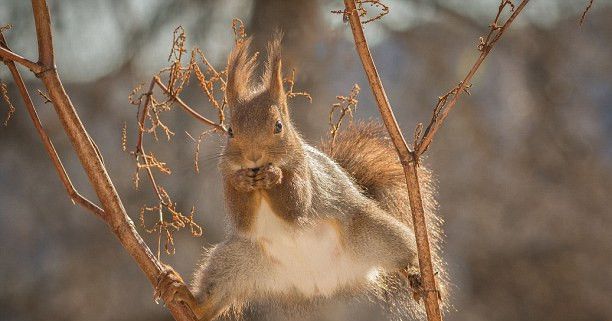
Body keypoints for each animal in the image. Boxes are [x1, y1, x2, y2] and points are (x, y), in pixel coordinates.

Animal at [155, 33, 448, 318]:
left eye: (278, 126)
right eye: (230, 131)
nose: (253, 157)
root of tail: (322, 281)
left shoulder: (306, 174)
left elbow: (295, 206)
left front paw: (274, 175)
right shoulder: (225, 180)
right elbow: (241, 217)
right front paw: (242, 181)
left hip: (373, 231)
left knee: (404, 251)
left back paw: (419, 276)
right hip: (235, 262)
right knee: (214, 298)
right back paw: (188, 298)